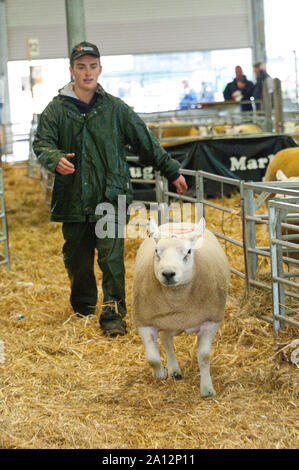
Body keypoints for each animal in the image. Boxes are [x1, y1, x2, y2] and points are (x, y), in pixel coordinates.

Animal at [132, 218, 231, 396]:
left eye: (188, 252)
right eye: (156, 251)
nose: (168, 274)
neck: (177, 301)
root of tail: (179, 222)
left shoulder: (210, 321)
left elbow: (204, 356)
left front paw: (207, 389)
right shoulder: (145, 321)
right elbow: (152, 359)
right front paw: (162, 373)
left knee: (166, 338)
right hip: (166, 321)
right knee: (166, 340)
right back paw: (173, 370)